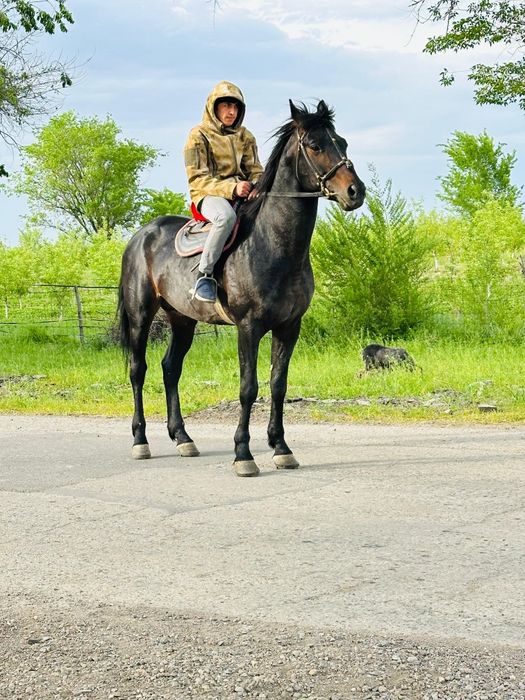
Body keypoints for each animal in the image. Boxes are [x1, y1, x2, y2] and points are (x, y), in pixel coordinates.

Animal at [117, 99, 366, 477]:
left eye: (343, 142)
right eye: (314, 145)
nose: (355, 192)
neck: (273, 246)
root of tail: (139, 237)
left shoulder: (289, 327)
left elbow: (278, 385)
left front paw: (281, 449)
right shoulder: (248, 328)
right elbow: (249, 388)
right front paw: (243, 454)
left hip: (182, 320)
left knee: (170, 368)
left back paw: (183, 439)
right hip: (140, 316)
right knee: (137, 370)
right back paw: (140, 441)